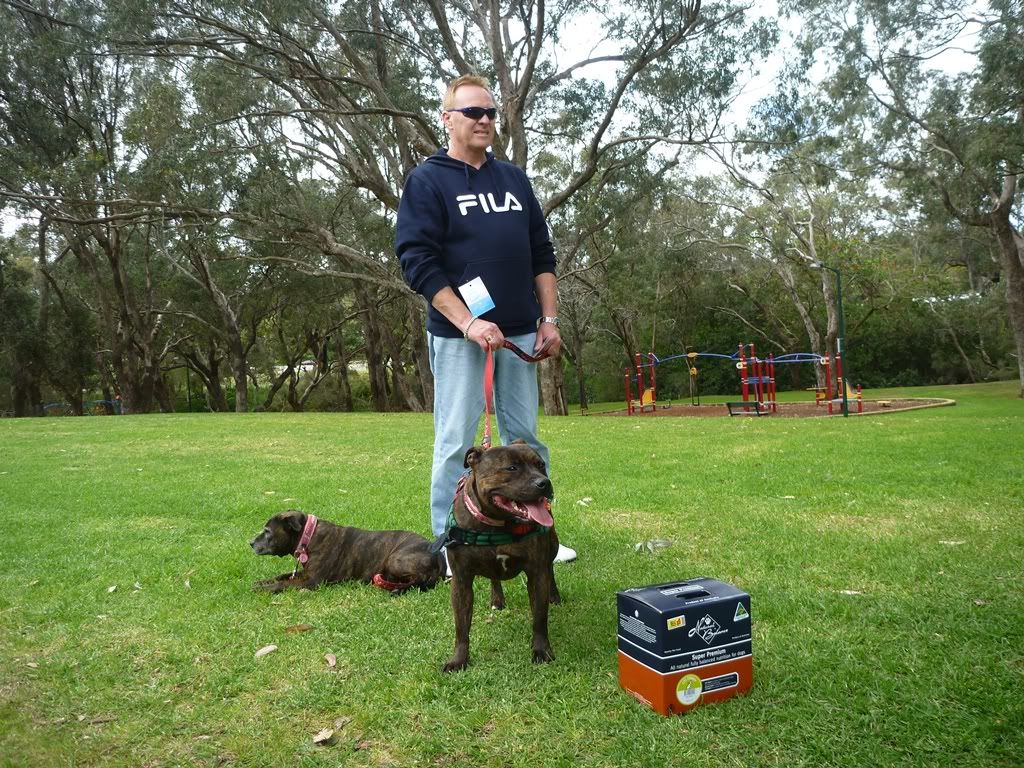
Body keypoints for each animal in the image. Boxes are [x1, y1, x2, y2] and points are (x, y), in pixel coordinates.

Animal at [250, 514, 444, 598]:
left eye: (267, 531)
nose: (250, 543)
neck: (308, 535)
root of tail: (439, 558)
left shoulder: (311, 581)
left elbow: (283, 583)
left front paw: (264, 589)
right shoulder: (304, 573)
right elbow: (281, 576)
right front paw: (262, 582)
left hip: (395, 560)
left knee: (421, 580)